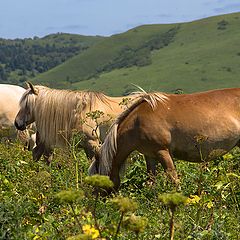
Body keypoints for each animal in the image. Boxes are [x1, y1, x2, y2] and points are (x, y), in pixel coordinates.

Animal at [89, 87, 240, 189]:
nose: (99, 203)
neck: (137, 122)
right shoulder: (150, 155)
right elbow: (151, 181)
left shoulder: (162, 152)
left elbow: (173, 179)